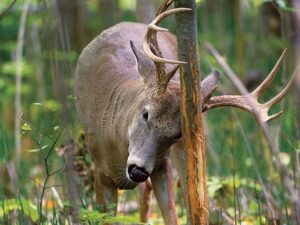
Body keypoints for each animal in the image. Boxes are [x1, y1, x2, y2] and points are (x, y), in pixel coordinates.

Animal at [74, 0, 294, 223]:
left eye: (177, 133)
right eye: (145, 113)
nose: (138, 171)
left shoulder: (161, 163)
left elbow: (171, 214)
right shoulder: (99, 172)